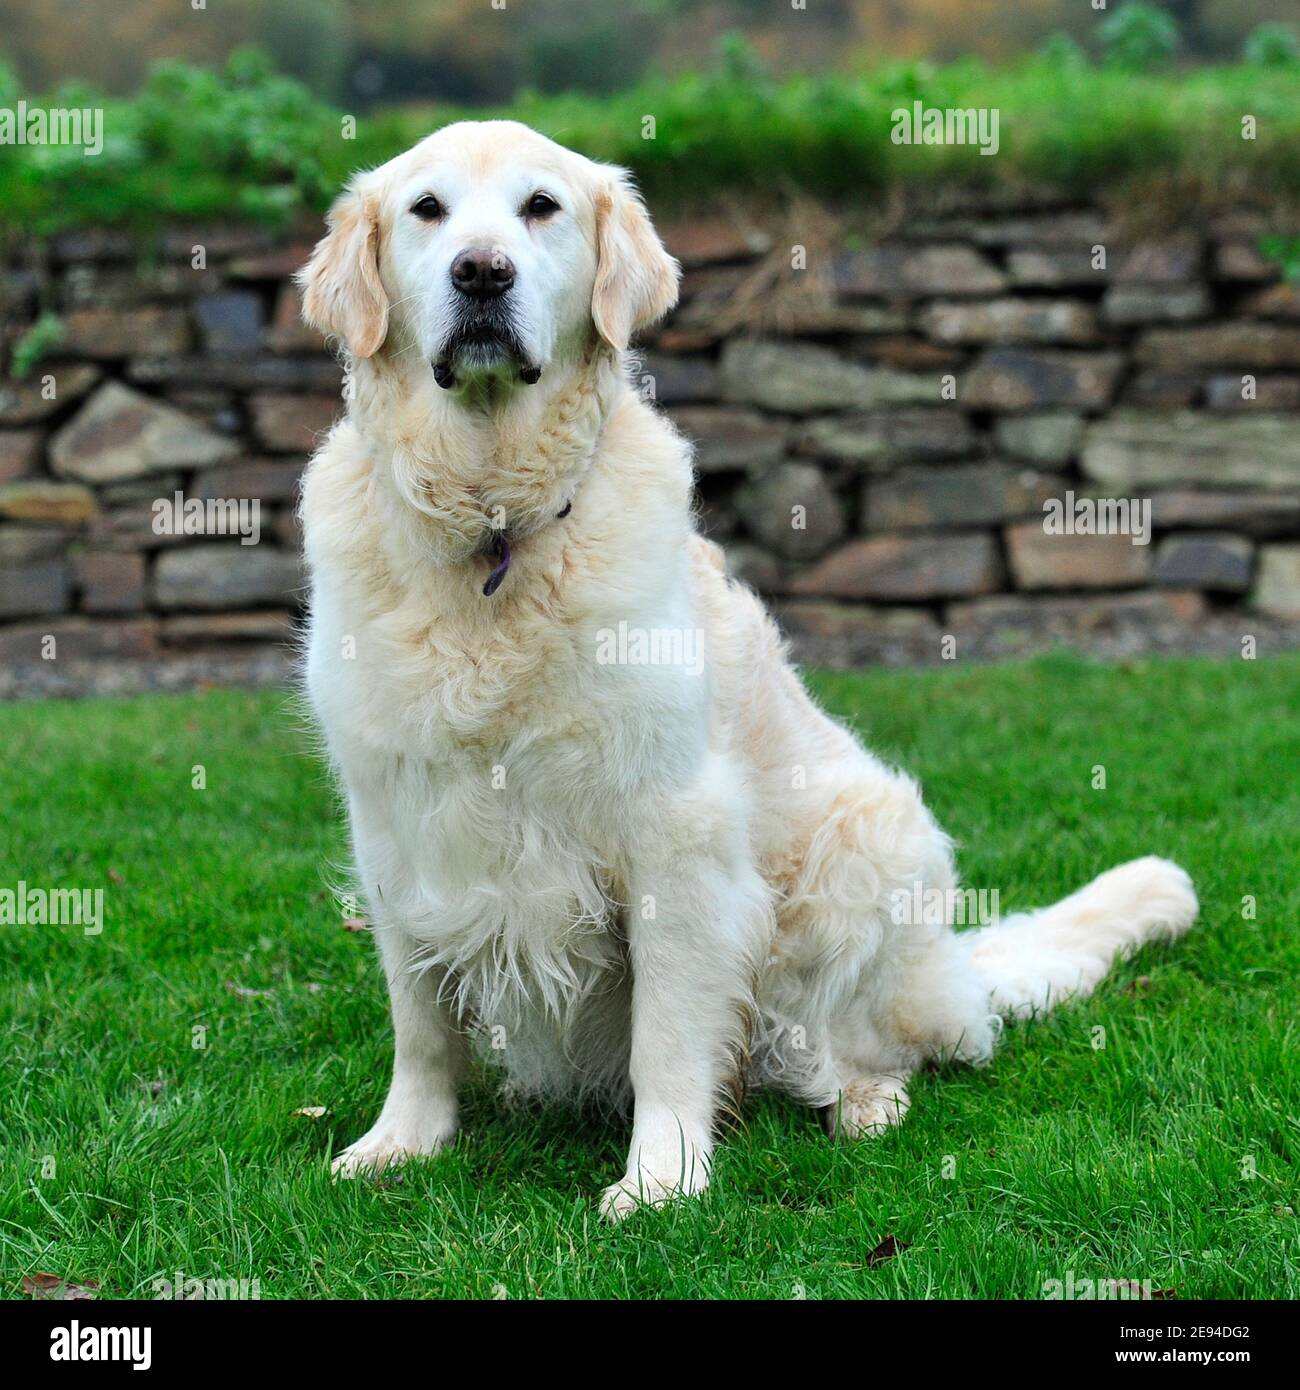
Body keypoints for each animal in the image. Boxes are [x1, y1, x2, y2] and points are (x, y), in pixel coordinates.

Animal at [297, 125, 1201, 1223]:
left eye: (541, 207)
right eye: (426, 210)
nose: (481, 272)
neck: (493, 529)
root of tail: (953, 968)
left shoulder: (676, 828)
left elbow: (669, 1033)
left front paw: (661, 1177)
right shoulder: (395, 823)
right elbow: (421, 1021)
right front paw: (401, 1143)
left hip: (865, 850)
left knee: (875, 1042)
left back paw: (865, 1101)